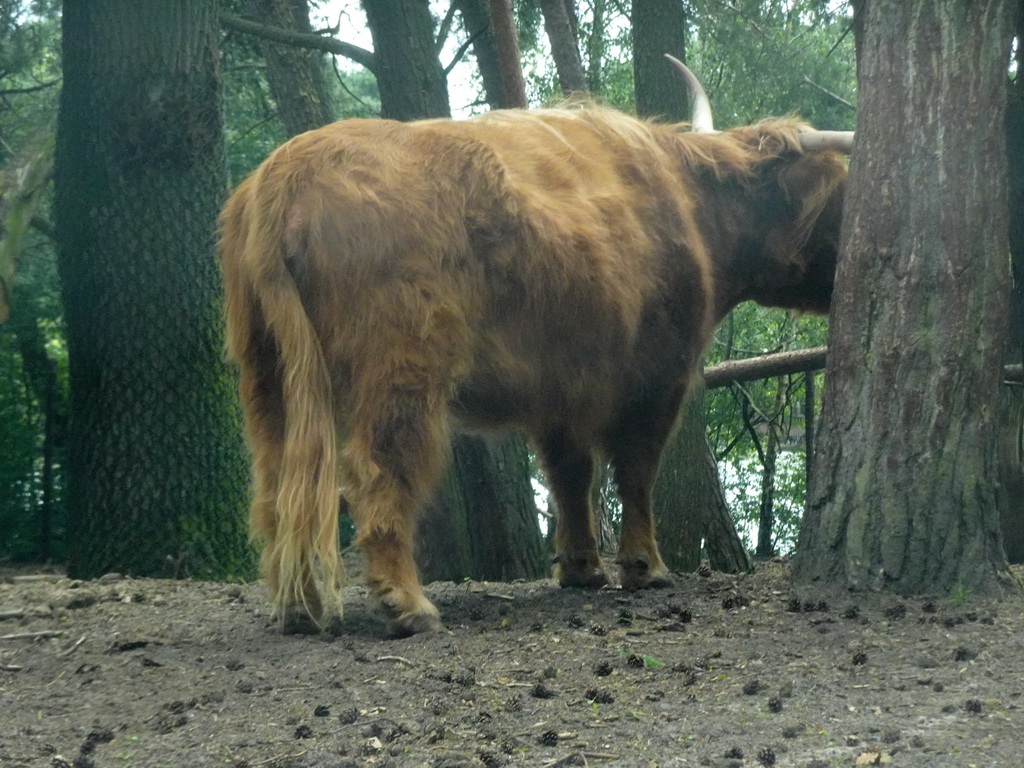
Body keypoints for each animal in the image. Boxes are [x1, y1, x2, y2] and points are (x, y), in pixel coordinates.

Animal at [220, 67, 851, 638]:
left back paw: (296, 607)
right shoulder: (659, 374)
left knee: (277, 482)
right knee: (378, 469)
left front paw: (581, 568)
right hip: (400, 364)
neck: (696, 210)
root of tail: (285, 172)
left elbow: (570, 473)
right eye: (845, 196)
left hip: (266, 371)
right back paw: (407, 605)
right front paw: (645, 567)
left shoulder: (561, 384)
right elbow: (636, 469)